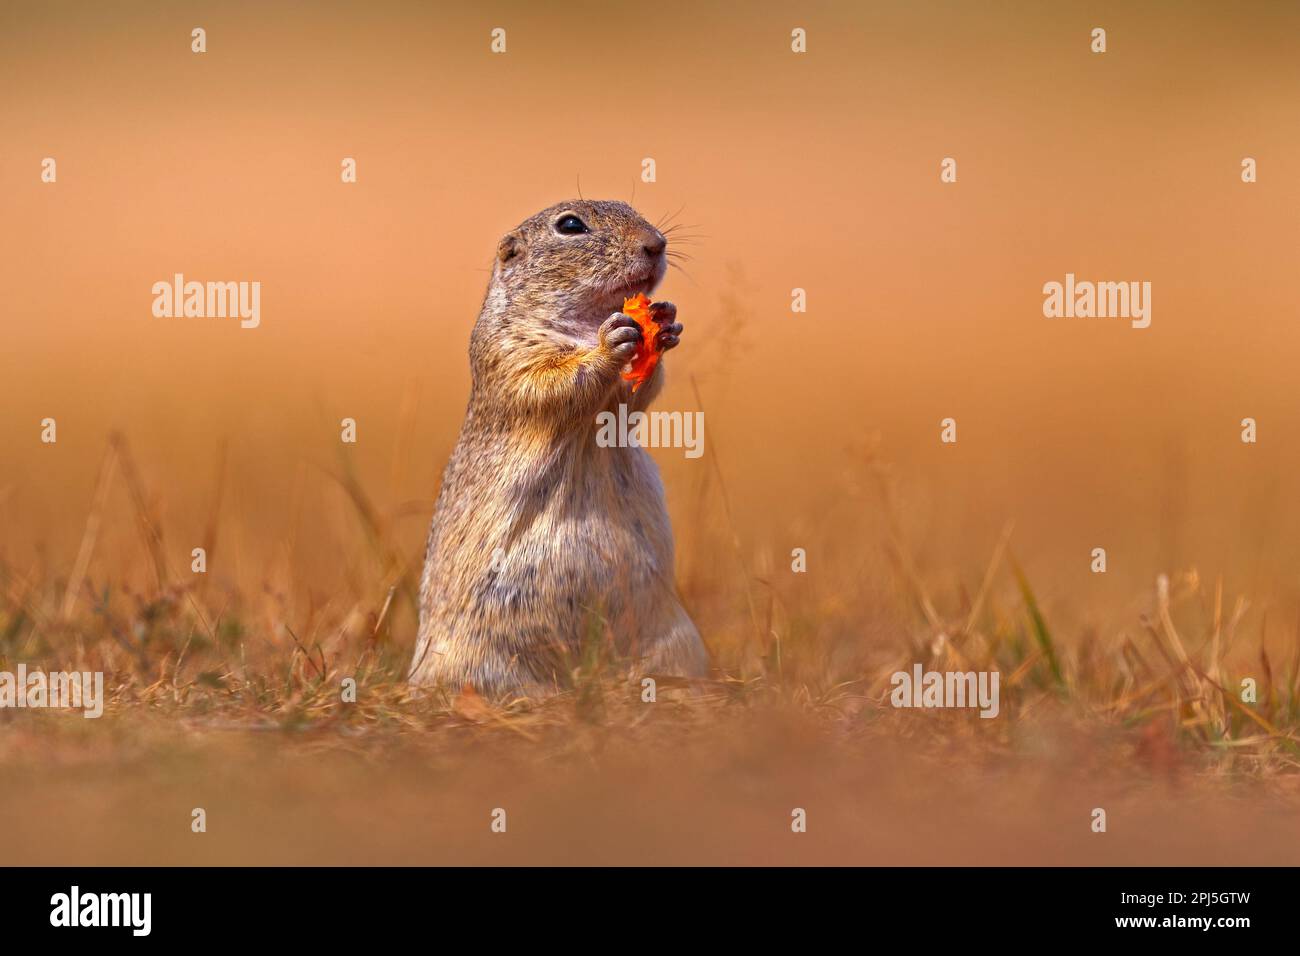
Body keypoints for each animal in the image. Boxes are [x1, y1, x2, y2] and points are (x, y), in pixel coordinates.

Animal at [408, 200, 709, 698]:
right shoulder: (510, 353)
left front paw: (666, 323)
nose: (657, 244)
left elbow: (632, 398)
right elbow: (553, 382)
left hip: (676, 639)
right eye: (570, 225)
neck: (588, 323)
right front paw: (612, 344)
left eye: (631, 207)